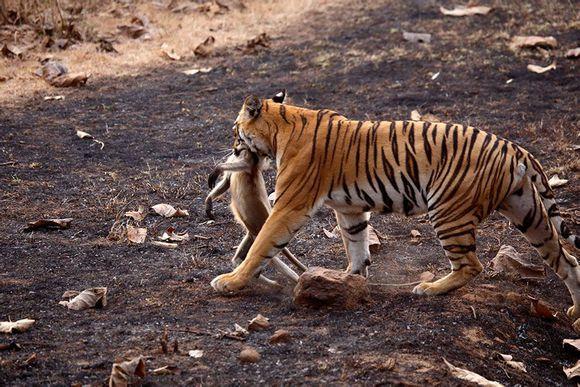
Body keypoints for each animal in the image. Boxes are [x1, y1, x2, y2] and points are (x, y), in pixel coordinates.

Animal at [212, 91, 580, 324]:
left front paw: (230, 281)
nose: (233, 147)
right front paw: (349, 282)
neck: (282, 125)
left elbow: (262, 245)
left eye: (235, 129)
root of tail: (513, 147)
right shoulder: (350, 210)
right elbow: (357, 246)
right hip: (527, 212)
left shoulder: (290, 204)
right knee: (567, 260)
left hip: (448, 211)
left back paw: (429, 288)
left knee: (471, 265)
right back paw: (575, 313)